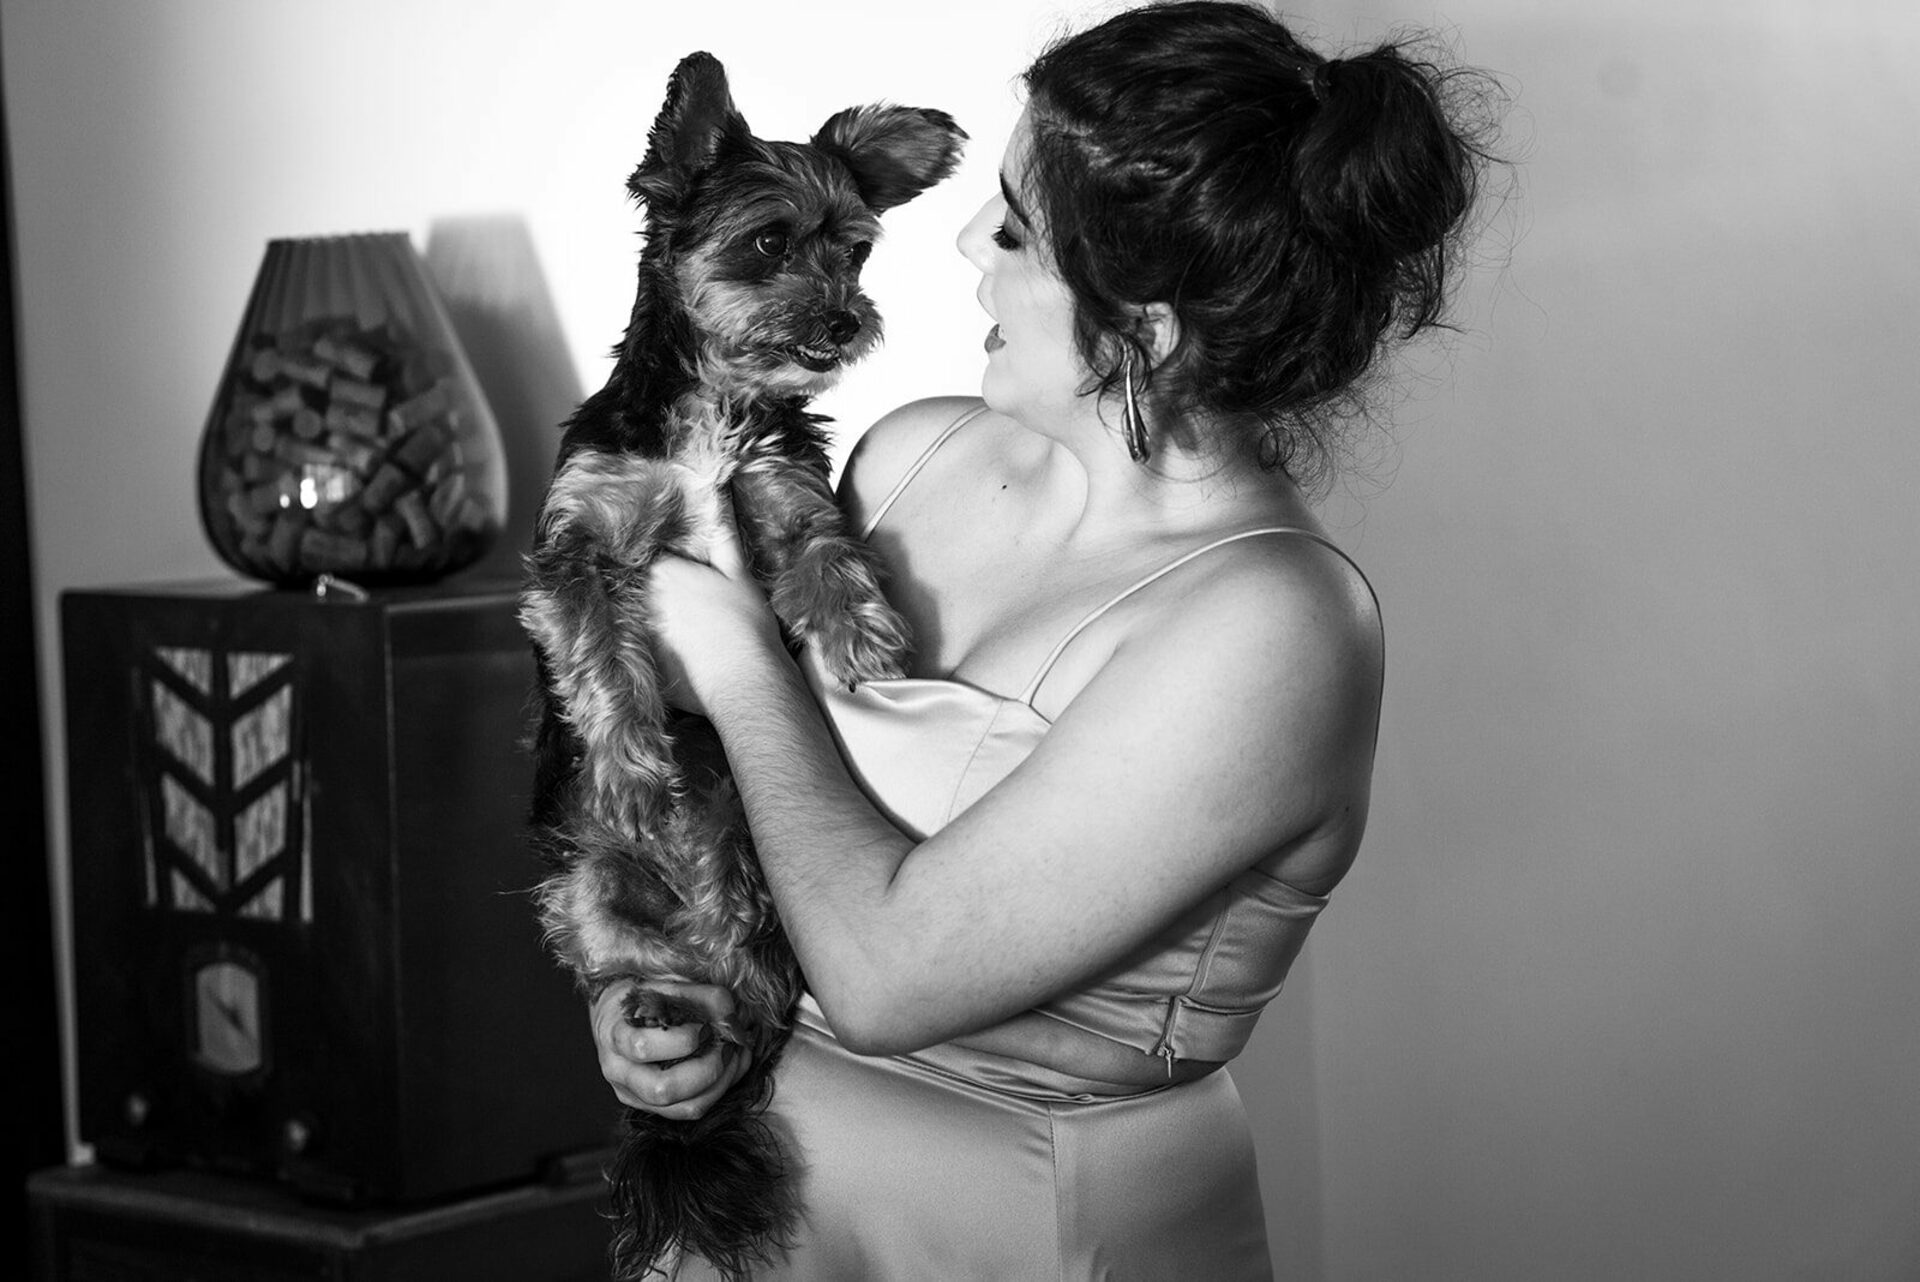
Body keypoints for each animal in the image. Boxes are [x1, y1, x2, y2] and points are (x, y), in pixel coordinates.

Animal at [518, 51, 964, 1281]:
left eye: (856, 248)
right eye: (769, 241)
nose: (846, 318)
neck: (714, 409)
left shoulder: (780, 485)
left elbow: (824, 548)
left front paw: (861, 635)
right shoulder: (577, 548)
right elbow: (603, 657)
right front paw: (631, 770)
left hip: (749, 859)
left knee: (753, 967)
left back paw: (727, 991)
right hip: (581, 892)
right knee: (636, 972)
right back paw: (662, 1007)